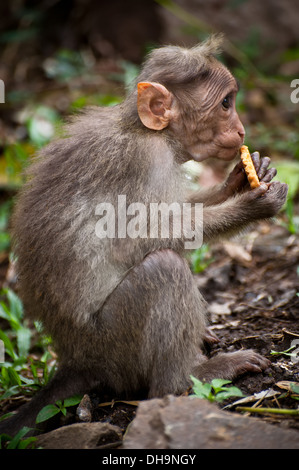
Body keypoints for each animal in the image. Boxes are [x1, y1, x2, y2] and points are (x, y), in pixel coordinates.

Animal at [0, 35, 288, 436]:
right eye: (226, 104)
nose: (243, 130)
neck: (147, 131)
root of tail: (77, 360)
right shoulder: (143, 161)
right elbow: (133, 241)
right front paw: (250, 205)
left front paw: (238, 181)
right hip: (113, 346)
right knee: (164, 267)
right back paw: (187, 378)